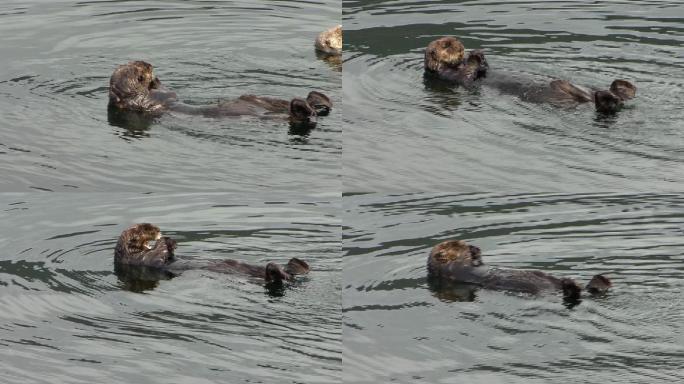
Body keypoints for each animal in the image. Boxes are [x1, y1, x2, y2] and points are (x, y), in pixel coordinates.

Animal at [108, 60, 332, 125]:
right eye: (138, 70)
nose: (149, 65)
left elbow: (169, 92)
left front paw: (157, 80)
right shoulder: (144, 101)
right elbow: (165, 95)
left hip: (265, 100)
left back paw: (319, 97)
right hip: (280, 115)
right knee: (302, 115)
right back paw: (305, 104)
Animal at [115, 222, 310, 284]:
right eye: (145, 228)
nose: (158, 229)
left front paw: (171, 241)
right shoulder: (144, 260)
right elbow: (159, 254)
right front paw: (167, 242)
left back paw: (300, 264)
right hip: (270, 277)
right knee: (277, 276)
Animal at [422, 35, 636, 114]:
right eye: (447, 45)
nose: (460, 46)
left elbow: (483, 68)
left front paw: (481, 56)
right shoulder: (450, 76)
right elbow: (468, 75)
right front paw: (474, 56)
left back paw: (624, 86)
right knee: (606, 104)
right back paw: (612, 95)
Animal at [428, 240, 608, 304]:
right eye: (454, 244)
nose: (468, 245)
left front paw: (476, 250)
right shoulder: (454, 269)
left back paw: (601, 280)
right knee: (573, 294)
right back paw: (574, 286)